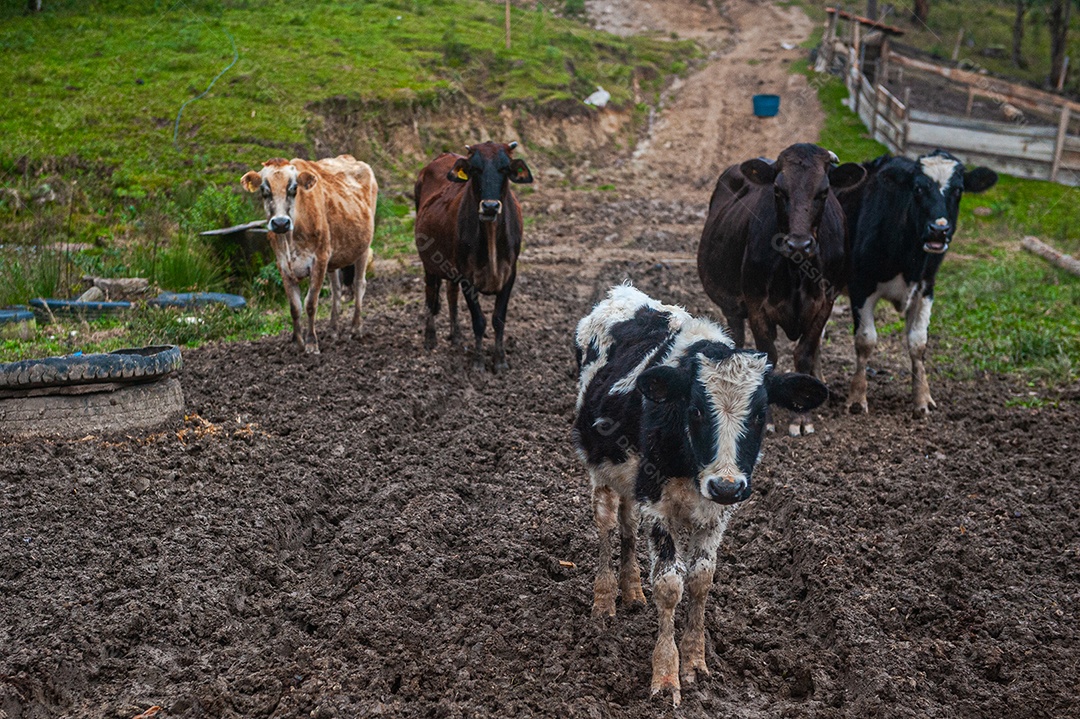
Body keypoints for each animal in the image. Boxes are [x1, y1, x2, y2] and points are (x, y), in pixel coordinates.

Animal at [241, 155, 378, 354]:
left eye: (293, 188)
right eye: (264, 190)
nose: (280, 223)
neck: (291, 239)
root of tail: (349, 158)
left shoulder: (319, 260)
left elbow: (311, 303)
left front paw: (311, 343)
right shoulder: (283, 265)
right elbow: (295, 307)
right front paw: (297, 343)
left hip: (363, 248)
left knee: (359, 284)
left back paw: (356, 329)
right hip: (333, 257)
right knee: (336, 290)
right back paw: (333, 330)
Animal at [413, 142, 532, 373]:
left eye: (505, 168)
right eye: (475, 169)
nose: (490, 206)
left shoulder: (510, 274)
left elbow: (498, 319)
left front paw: (500, 360)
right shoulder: (467, 276)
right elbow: (479, 321)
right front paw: (478, 362)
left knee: (451, 294)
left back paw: (456, 336)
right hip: (429, 263)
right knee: (431, 295)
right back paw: (430, 338)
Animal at [573, 284, 828, 707]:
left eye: (760, 414)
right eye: (695, 411)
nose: (726, 486)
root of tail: (622, 294)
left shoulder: (715, 513)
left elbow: (700, 580)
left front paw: (695, 662)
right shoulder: (658, 504)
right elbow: (669, 585)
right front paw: (666, 675)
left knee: (627, 525)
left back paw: (631, 589)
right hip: (601, 469)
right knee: (607, 526)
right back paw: (605, 601)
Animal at [697, 143, 865, 436]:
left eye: (823, 192)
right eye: (778, 190)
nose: (799, 244)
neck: (796, 272)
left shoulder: (825, 304)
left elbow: (804, 355)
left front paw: (803, 418)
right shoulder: (756, 306)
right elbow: (770, 355)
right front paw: (767, 420)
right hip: (732, 306)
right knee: (736, 338)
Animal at [841, 150, 997, 416]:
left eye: (959, 190)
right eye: (917, 188)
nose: (938, 230)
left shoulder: (926, 287)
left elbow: (918, 343)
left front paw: (922, 399)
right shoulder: (860, 285)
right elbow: (866, 340)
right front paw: (857, 398)